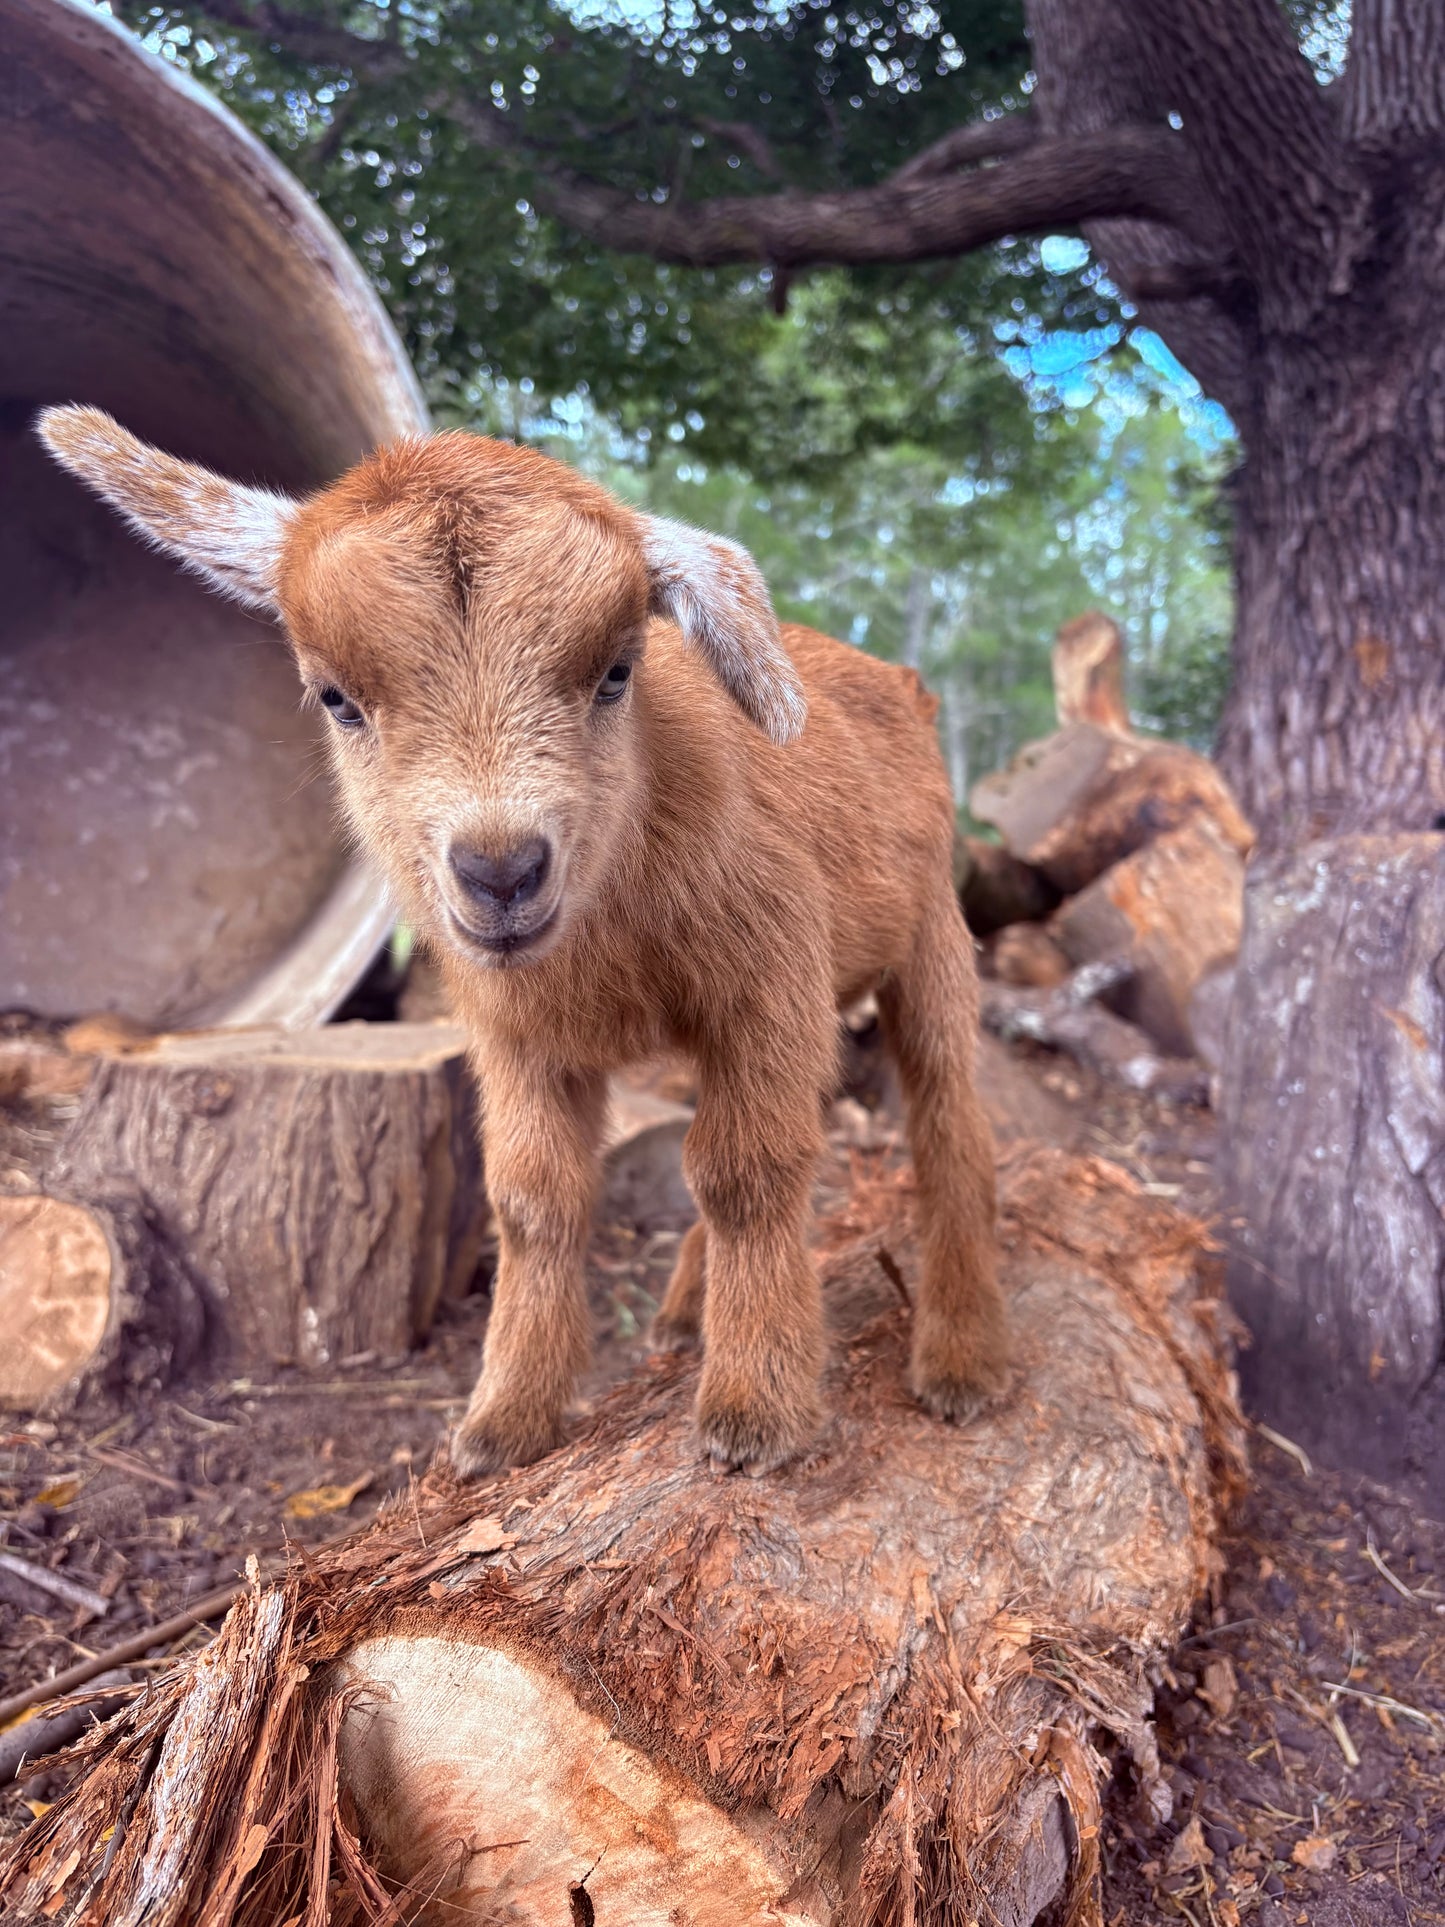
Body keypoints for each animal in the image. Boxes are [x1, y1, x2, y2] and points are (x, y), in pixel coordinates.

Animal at [37, 408, 1007, 1477]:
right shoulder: (514, 1034)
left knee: (949, 1114)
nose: (500, 873)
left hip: (933, 932)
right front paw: (505, 1417)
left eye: (616, 672)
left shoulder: (767, 977)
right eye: (336, 698)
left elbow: (746, 1173)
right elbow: (534, 1200)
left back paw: (961, 1355)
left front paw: (756, 1408)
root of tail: (901, 683)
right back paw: (686, 1312)